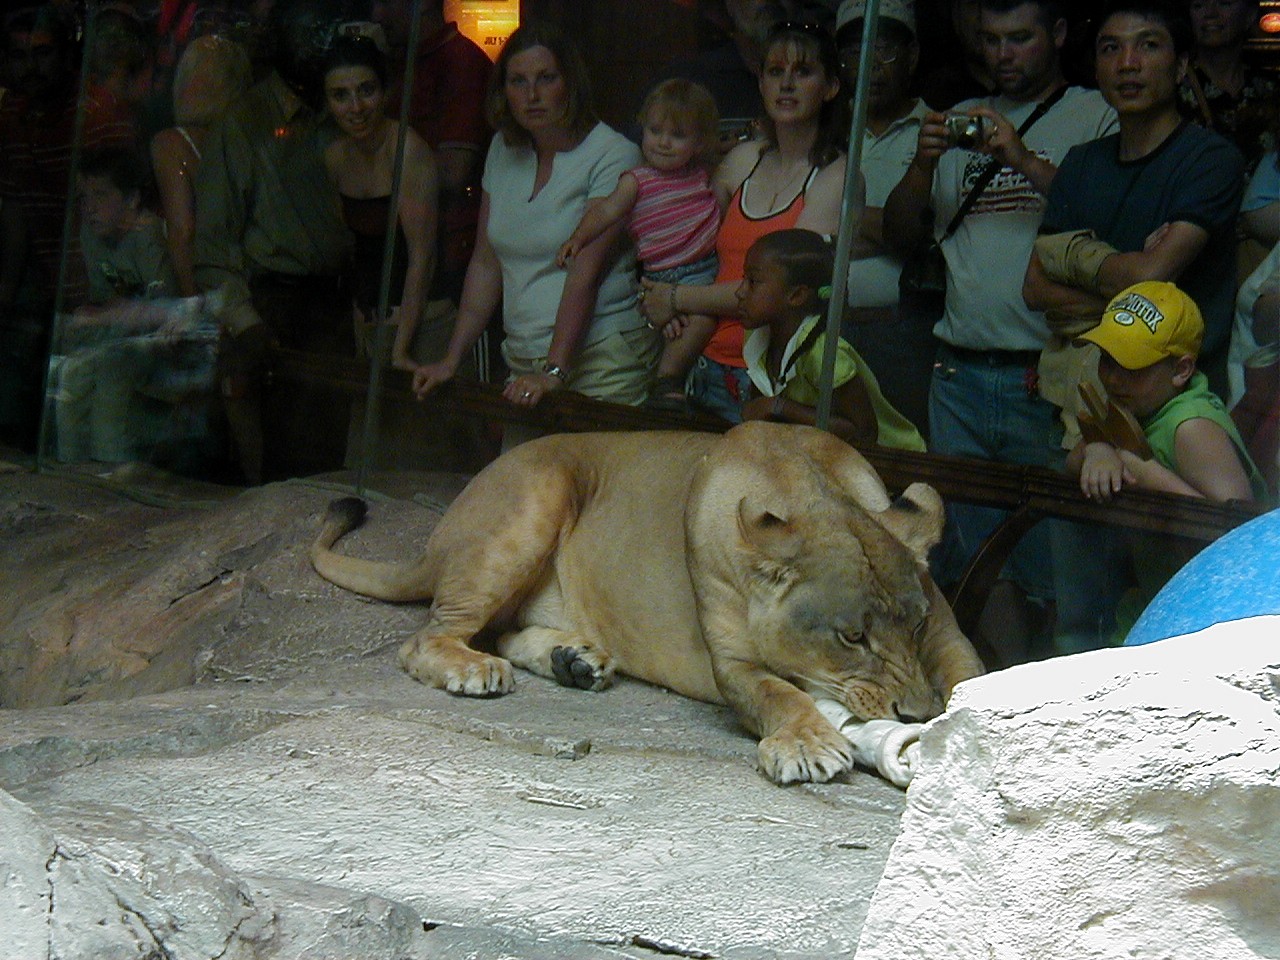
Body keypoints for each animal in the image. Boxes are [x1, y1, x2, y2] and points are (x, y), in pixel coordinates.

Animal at [311, 422, 984, 784]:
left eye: (916, 624)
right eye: (851, 637)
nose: (917, 713)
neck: (801, 483)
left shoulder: (947, 636)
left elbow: (970, 677)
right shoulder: (731, 664)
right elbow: (779, 693)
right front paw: (807, 745)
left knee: (500, 628)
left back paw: (573, 661)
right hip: (536, 496)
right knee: (426, 637)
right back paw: (476, 668)